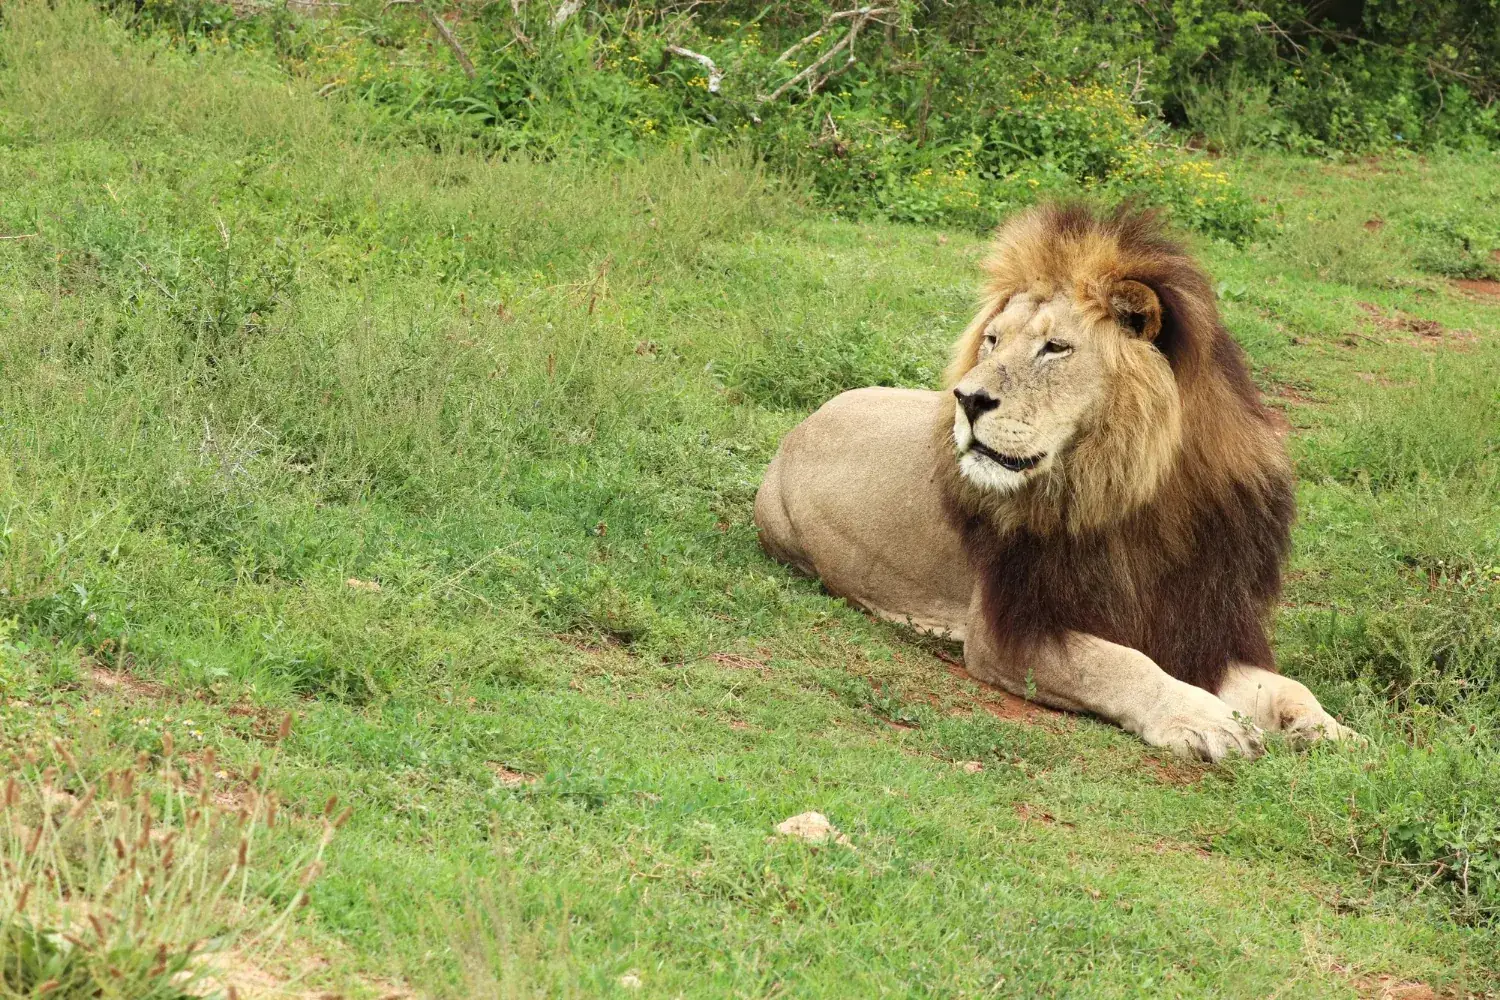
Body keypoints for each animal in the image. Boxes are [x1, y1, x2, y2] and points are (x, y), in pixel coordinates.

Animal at [754, 203, 1357, 761]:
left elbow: (1287, 688)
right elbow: (1121, 664)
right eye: (992, 340)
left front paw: (1335, 734)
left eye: (1055, 347)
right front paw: (1206, 720)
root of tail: (801, 426)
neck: (1140, 496)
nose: (967, 399)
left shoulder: (1204, 625)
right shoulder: (1008, 630)